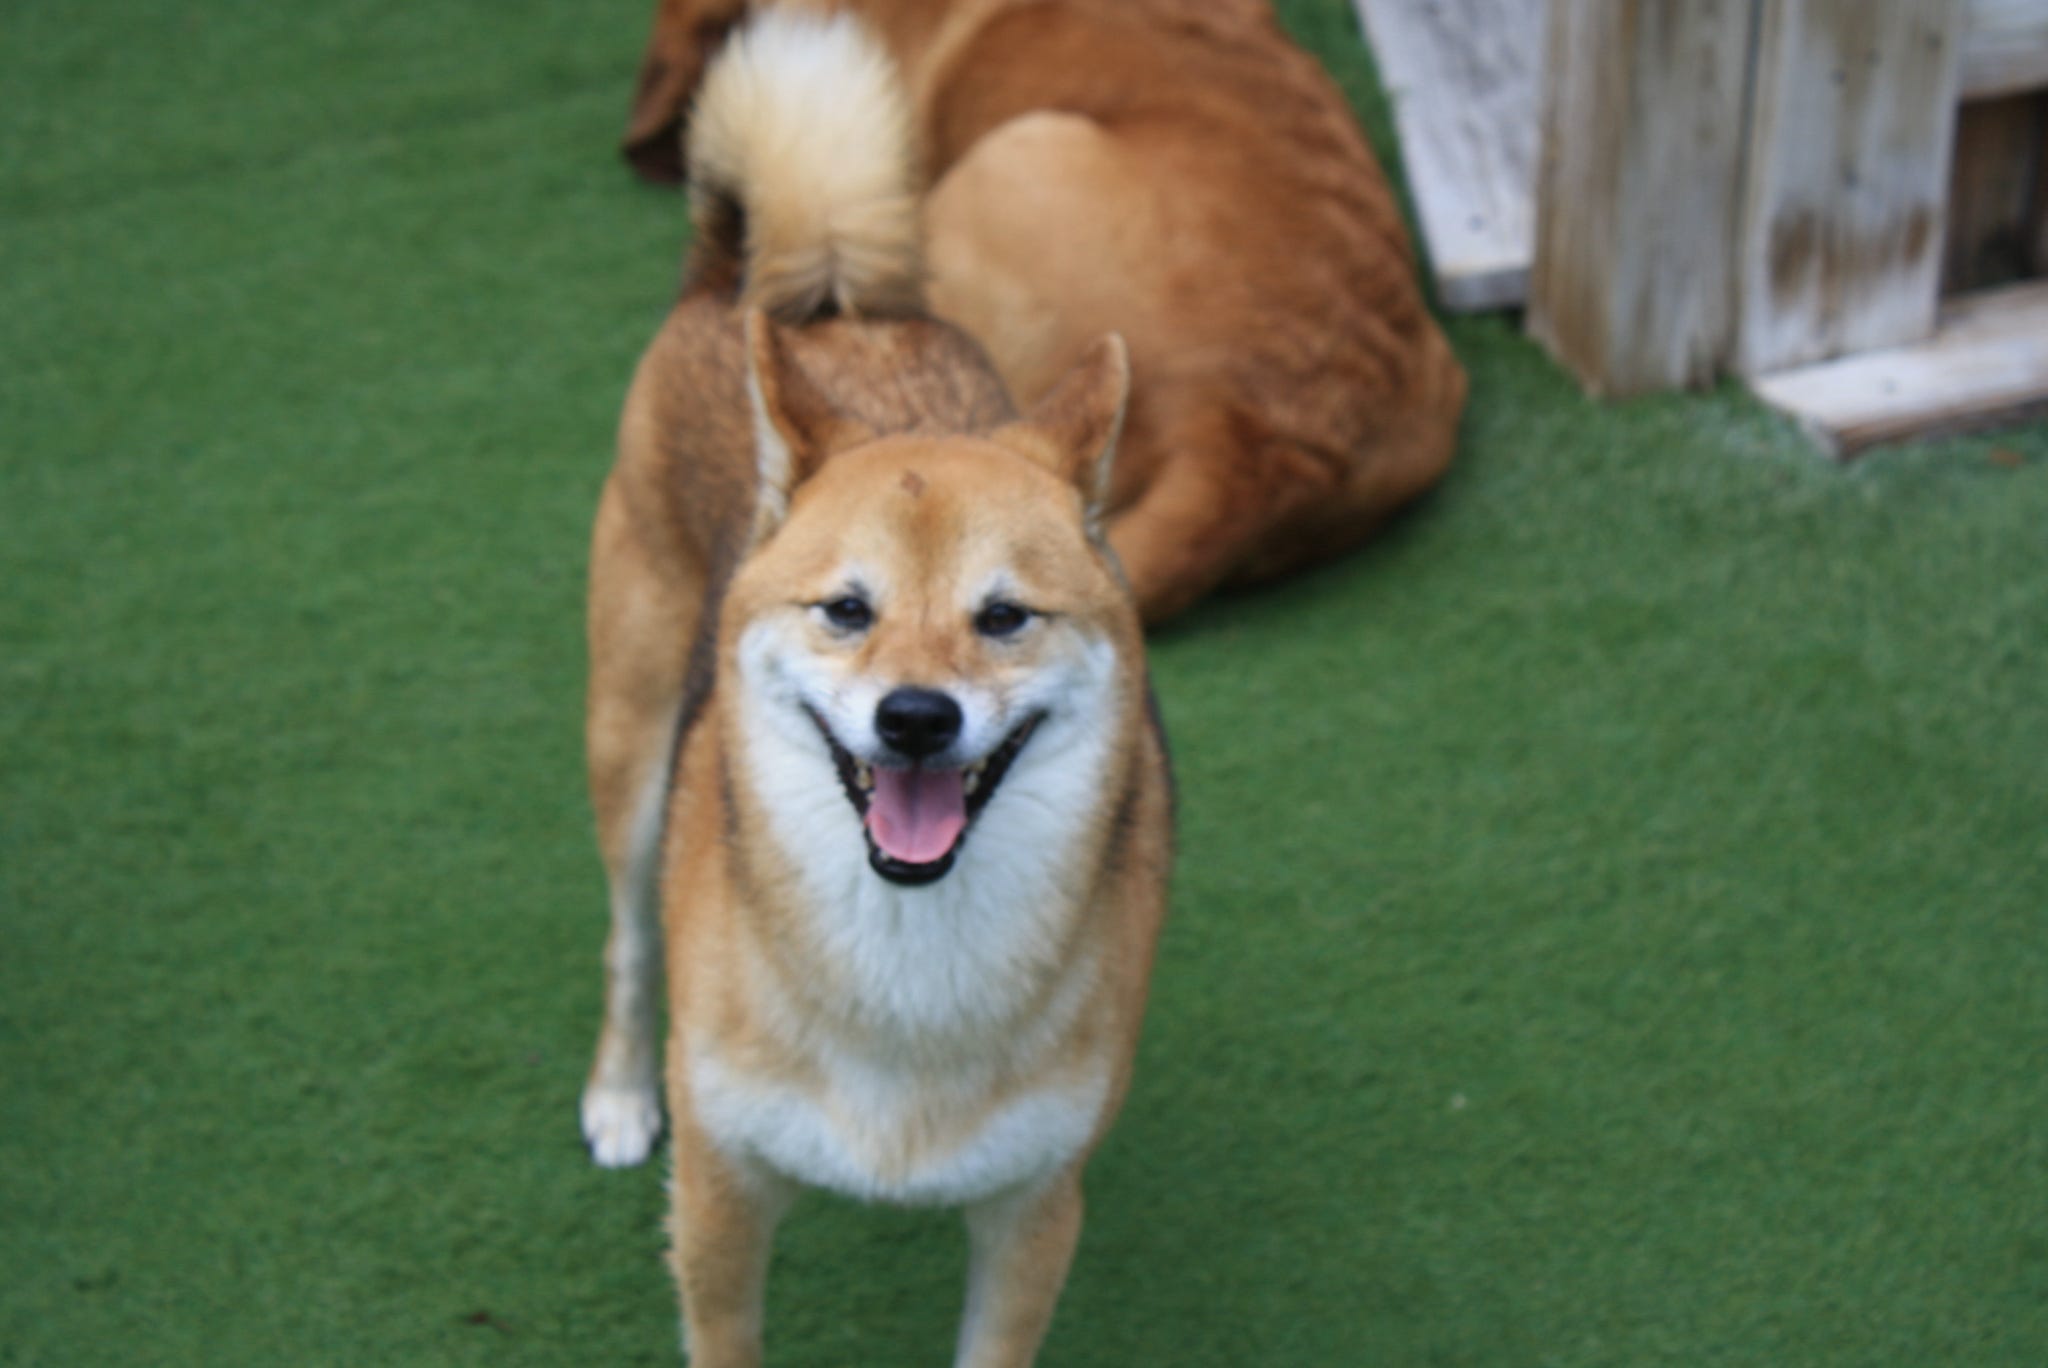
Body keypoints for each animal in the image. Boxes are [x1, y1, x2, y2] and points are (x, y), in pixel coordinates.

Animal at [577, 12, 1173, 1365]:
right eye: (845, 611)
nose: (914, 718)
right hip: (628, 757)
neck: (907, 969)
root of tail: (771, 289)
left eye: (1003, 618)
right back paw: (618, 1093)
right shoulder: (719, 1197)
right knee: (628, 942)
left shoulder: (1032, 1209)